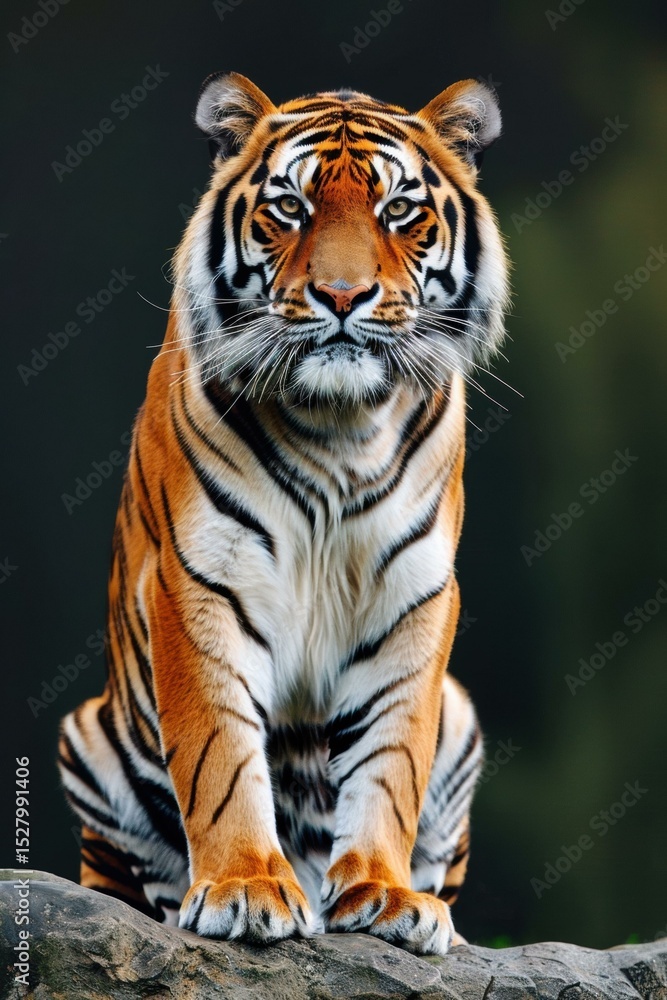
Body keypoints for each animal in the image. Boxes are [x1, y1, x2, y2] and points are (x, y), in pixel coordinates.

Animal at [58, 71, 510, 956]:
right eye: (291, 207)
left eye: (397, 210)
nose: (341, 295)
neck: (339, 425)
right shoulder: (200, 581)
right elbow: (220, 753)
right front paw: (244, 889)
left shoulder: (414, 593)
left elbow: (390, 760)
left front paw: (384, 894)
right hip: (88, 741)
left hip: (463, 721)